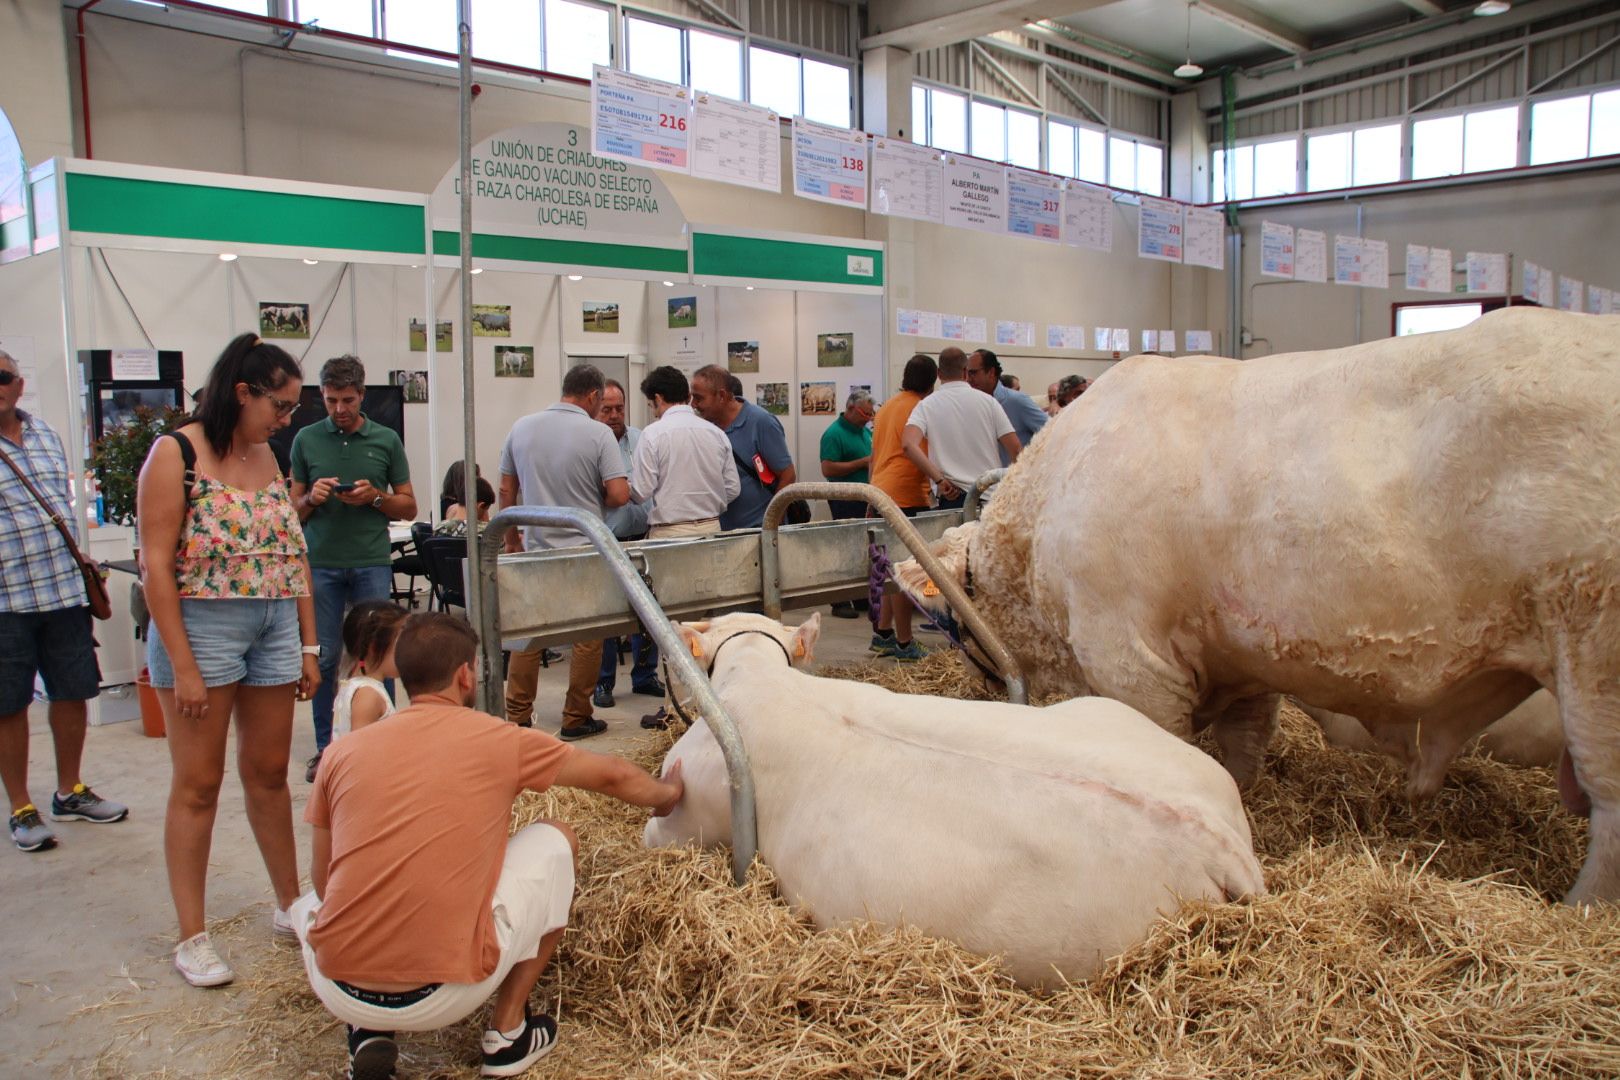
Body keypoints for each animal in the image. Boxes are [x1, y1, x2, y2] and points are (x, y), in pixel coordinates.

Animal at [894, 310, 1613, 906]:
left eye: (957, 620)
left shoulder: (1130, 658)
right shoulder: (1244, 659)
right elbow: (1238, 753)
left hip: (1593, 651)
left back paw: (1580, 912)